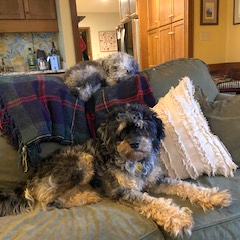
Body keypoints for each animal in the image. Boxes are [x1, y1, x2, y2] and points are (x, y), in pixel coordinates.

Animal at [0, 104, 232, 237]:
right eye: (122, 131)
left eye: (142, 127)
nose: (135, 144)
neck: (135, 162)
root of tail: (31, 176)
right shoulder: (124, 191)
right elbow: (154, 203)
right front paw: (179, 218)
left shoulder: (156, 180)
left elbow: (184, 186)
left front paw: (214, 196)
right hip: (83, 160)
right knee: (49, 200)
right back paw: (87, 195)